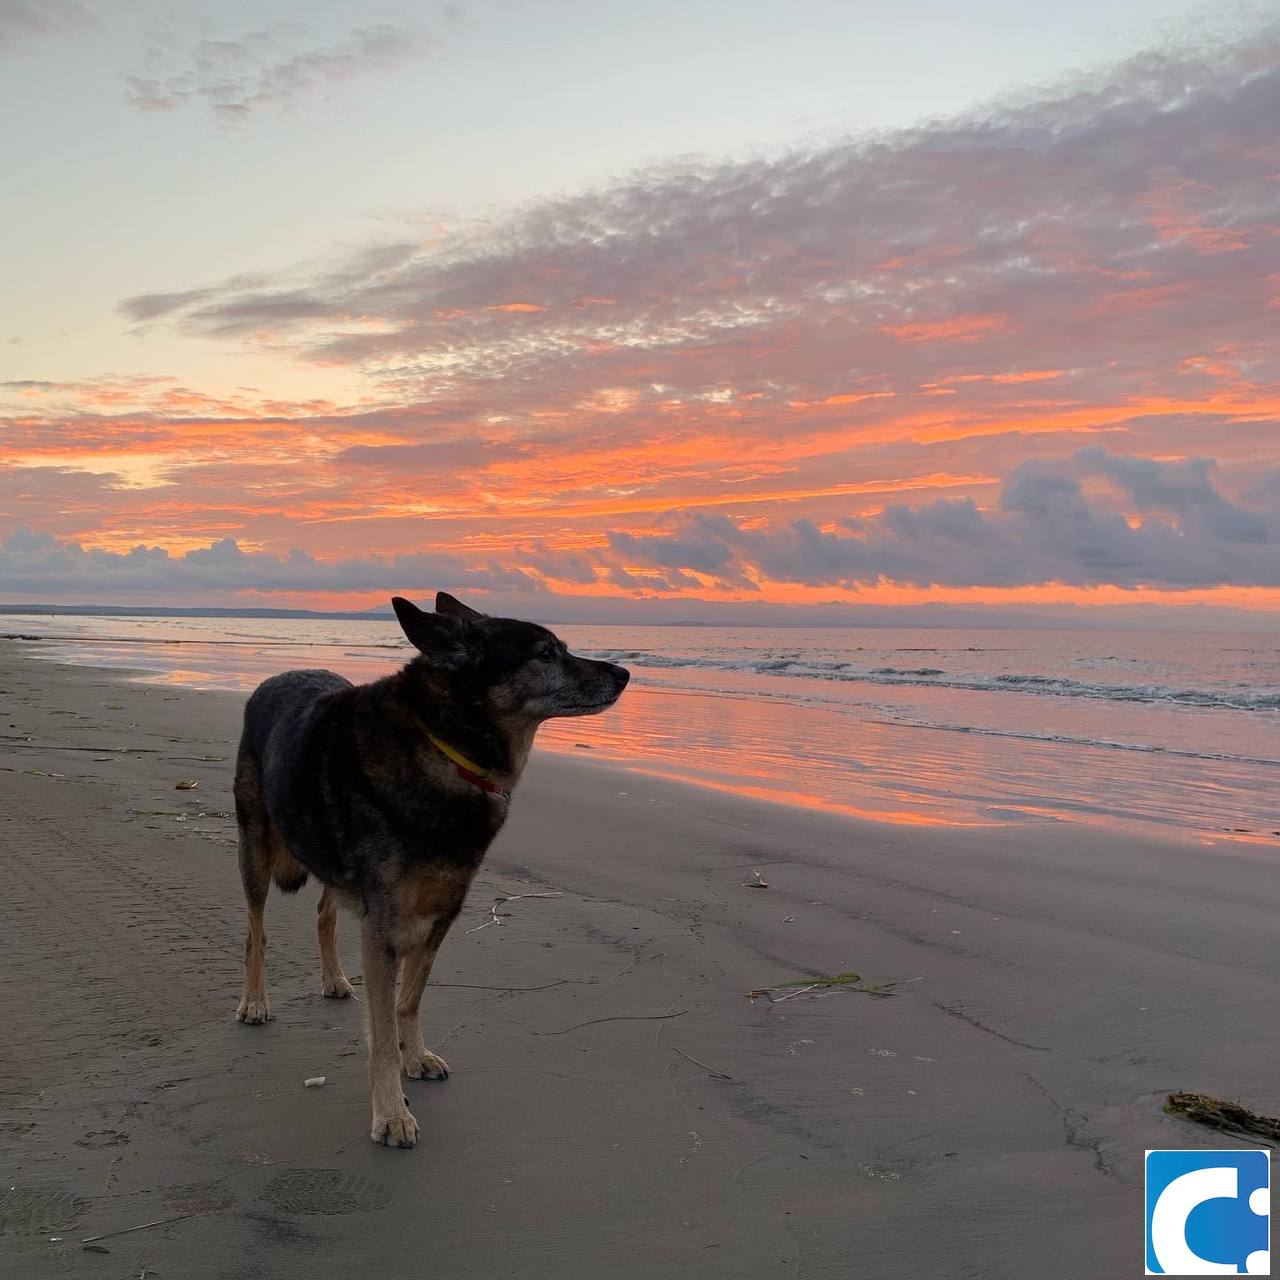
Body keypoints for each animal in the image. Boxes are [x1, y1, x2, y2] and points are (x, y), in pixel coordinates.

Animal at [234, 591, 629, 1152]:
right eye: (545, 653)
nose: (625, 673)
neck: (446, 747)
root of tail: (278, 676)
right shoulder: (383, 927)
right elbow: (380, 1033)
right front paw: (391, 1112)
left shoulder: (441, 915)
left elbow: (409, 1000)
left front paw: (415, 1056)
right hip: (256, 846)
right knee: (256, 930)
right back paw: (254, 1000)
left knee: (324, 913)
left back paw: (334, 978)